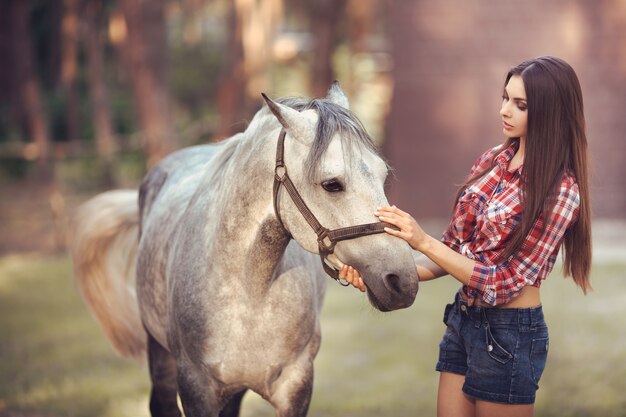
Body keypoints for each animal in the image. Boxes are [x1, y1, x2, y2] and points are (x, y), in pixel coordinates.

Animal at [70, 82, 416, 416]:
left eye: (383, 175)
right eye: (332, 184)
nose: (403, 282)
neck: (250, 294)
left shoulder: (295, 385)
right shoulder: (196, 387)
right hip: (159, 353)